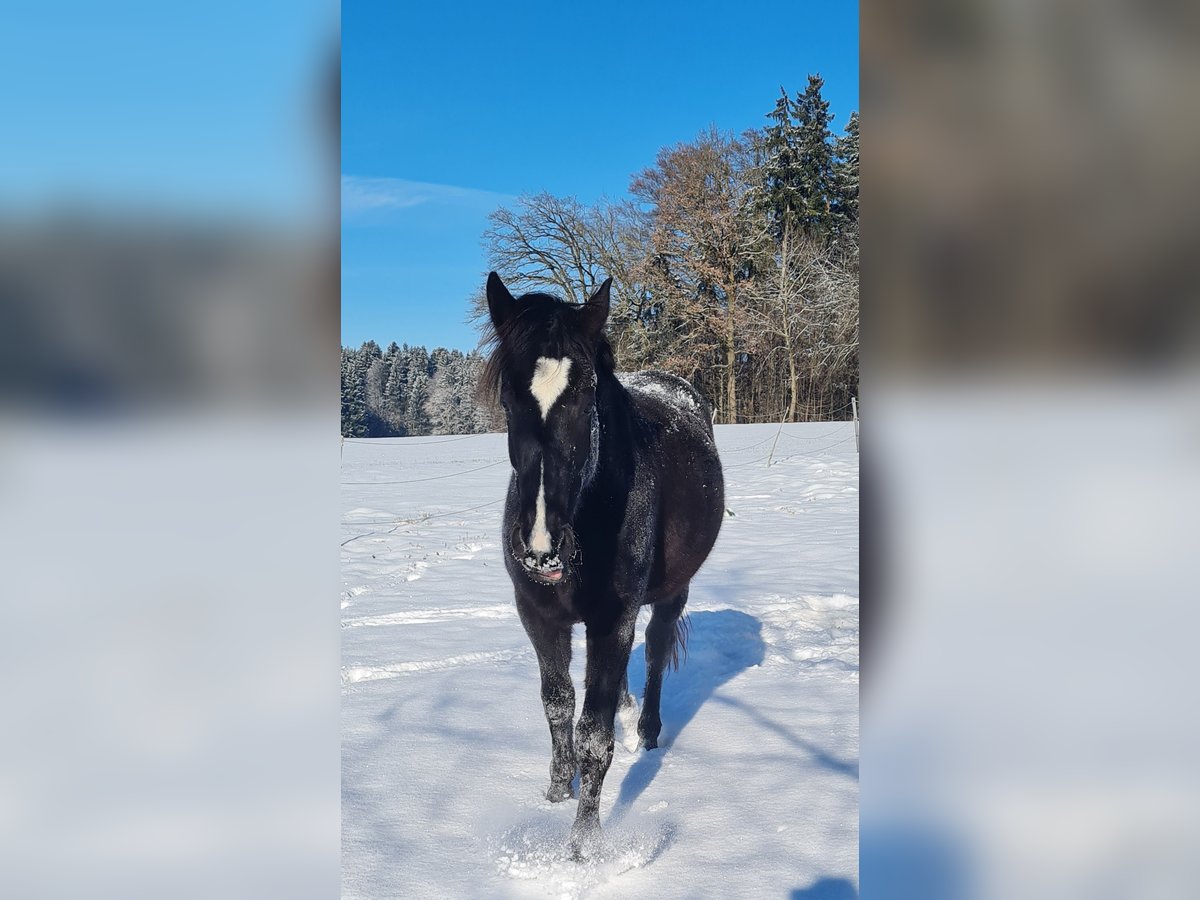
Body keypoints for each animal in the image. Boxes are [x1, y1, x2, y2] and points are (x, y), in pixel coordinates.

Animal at [481, 271, 725, 858]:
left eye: (585, 394)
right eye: (508, 397)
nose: (541, 547)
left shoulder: (613, 619)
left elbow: (593, 733)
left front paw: (583, 848)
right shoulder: (538, 616)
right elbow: (557, 704)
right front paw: (555, 791)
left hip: (670, 594)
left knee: (656, 651)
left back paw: (648, 733)